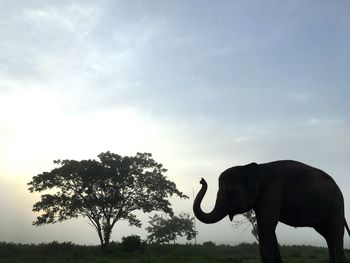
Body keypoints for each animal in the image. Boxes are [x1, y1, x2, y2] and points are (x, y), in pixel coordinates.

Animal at [193, 161, 348, 263]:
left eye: (230, 192)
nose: (201, 180)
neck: (252, 167)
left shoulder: (272, 193)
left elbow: (266, 225)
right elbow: (268, 227)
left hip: (336, 205)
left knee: (335, 233)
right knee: (328, 235)